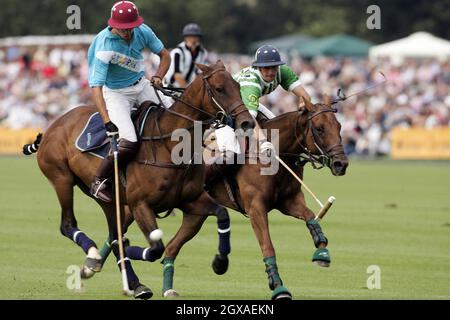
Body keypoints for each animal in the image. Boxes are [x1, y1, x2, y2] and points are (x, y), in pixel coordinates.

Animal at [24, 60, 255, 300]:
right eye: (219, 89)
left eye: (238, 86)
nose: (247, 122)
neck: (170, 146)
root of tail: (54, 123)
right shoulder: (140, 205)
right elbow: (155, 249)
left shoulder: (191, 202)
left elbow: (222, 214)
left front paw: (220, 262)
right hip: (61, 178)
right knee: (68, 224)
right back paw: (96, 256)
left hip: (108, 199)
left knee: (113, 233)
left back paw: (134, 283)